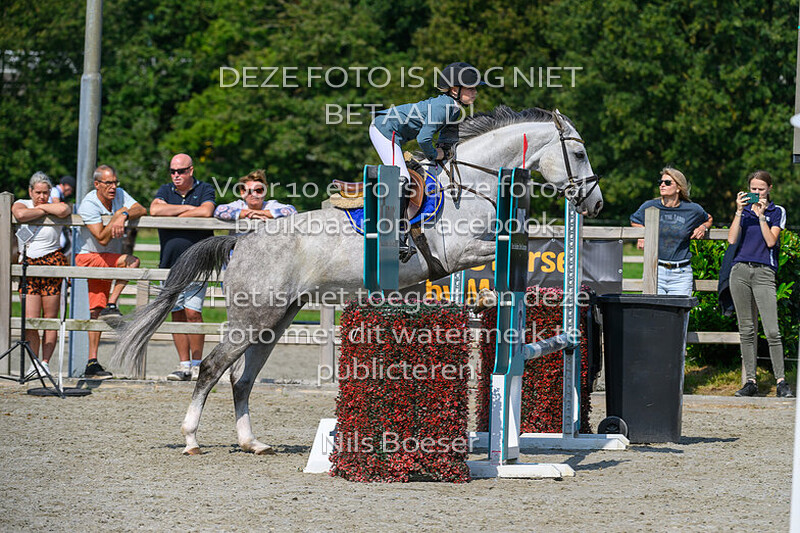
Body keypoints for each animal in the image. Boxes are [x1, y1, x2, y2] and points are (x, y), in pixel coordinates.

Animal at [112, 106, 604, 456]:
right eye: (578, 154)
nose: (595, 204)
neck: (471, 184)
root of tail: (242, 239)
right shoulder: (458, 253)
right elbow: (498, 256)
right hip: (253, 317)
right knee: (214, 368)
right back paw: (191, 439)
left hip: (275, 320)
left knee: (242, 379)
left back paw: (252, 443)